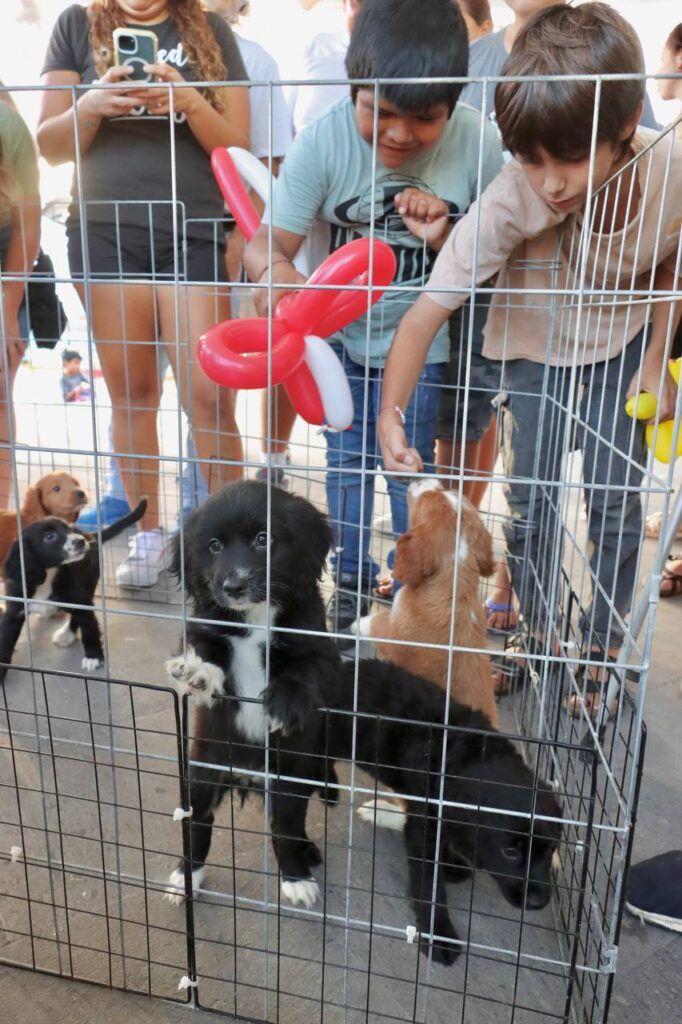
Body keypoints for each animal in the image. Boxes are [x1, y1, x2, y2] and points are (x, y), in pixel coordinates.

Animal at [0, 500, 146, 684]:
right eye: (49, 537)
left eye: (68, 529)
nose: (80, 541)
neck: (48, 576)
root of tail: (91, 535)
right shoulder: (13, 611)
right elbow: (5, 641)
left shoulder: (80, 601)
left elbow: (89, 629)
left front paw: (93, 656)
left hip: (89, 582)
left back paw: (67, 634)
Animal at [164, 481, 340, 909]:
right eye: (213, 546)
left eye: (264, 539)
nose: (234, 587)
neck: (256, 616)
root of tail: (247, 775)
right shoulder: (204, 629)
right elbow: (205, 653)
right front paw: (199, 674)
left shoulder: (320, 648)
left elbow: (304, 670)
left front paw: (284, 703)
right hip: (201, 773)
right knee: (198, 825)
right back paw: (184, 877)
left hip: (290, 776)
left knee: (287, 826)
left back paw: (298, 874)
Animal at [355, 478, 498, 725]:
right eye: (445, 490)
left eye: (428, 496)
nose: (423, 478)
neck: (453, 584)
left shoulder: (390, 632)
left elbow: (372, 622)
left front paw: (354, 624)